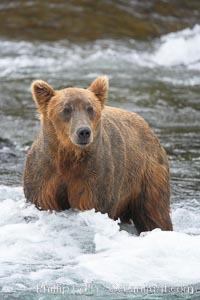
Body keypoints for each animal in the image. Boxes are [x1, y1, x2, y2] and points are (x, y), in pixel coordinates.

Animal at [23, 76, 173, 233]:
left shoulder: (96, 176)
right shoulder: (45, 174)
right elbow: (42, 200)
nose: (83, 131)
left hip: (147, 175)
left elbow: (95, 203)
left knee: (154, 212)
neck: (70, 157)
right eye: (66, 109)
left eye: (90, 108)